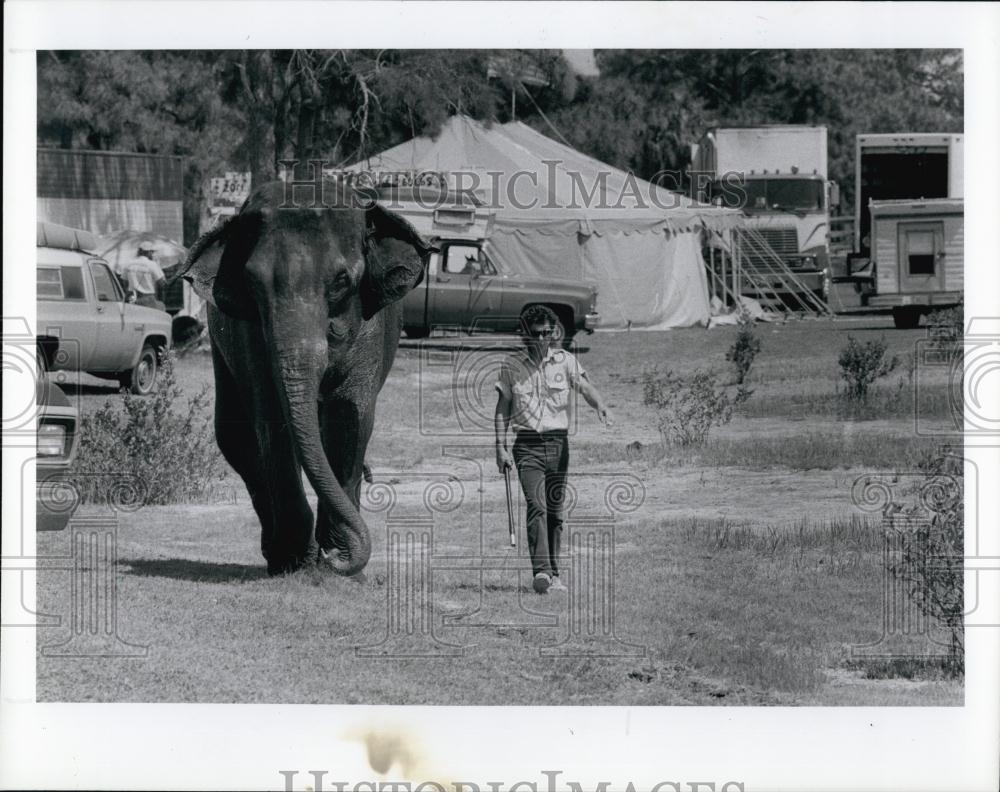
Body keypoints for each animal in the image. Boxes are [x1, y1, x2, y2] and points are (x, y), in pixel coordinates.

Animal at [182, 179, 432, 576]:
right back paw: (277, 555)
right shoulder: (248, 334)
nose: (336, 559)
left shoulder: (370, 329)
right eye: (252, 282)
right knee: (236, 438)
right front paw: (300, 560)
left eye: (342, 281)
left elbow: (349, 416)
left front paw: (336, 561)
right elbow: (273, 420)